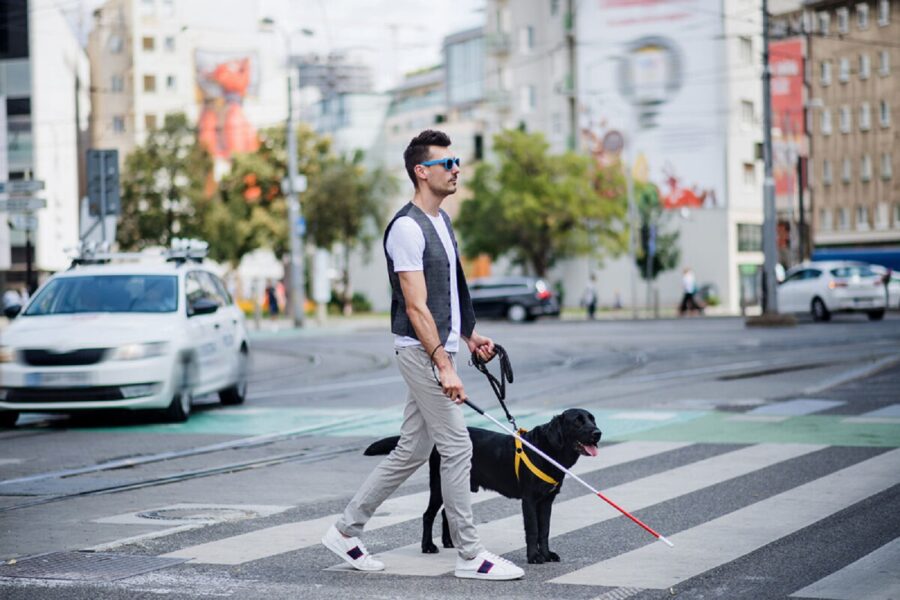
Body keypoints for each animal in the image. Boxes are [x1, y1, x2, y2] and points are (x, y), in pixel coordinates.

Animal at [362, 406, 600, 564]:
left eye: (592, 419)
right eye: (577, 421)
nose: (598, 433)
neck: (546, 451)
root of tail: (436, 441)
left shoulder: (547, 501)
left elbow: (545, 530)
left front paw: (548, 554)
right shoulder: (529, 500)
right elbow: (533, 530)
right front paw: (534, 557)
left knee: (447, 512)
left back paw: (450, 541)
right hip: (438, 485)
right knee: (428, 515)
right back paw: (428, 546)